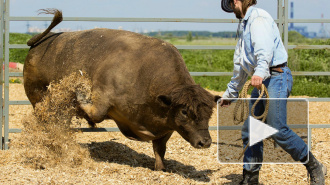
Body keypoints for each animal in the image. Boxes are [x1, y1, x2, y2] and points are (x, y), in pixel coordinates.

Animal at [23, 9, 219, 171]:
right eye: (184, 111)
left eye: (210, 113)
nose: (205, 142)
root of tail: (41, 40)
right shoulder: (103, 97)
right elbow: (96, 114)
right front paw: (80, 93)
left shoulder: (166, 128)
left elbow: (159, 149)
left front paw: (161, 168)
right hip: (38, 97)